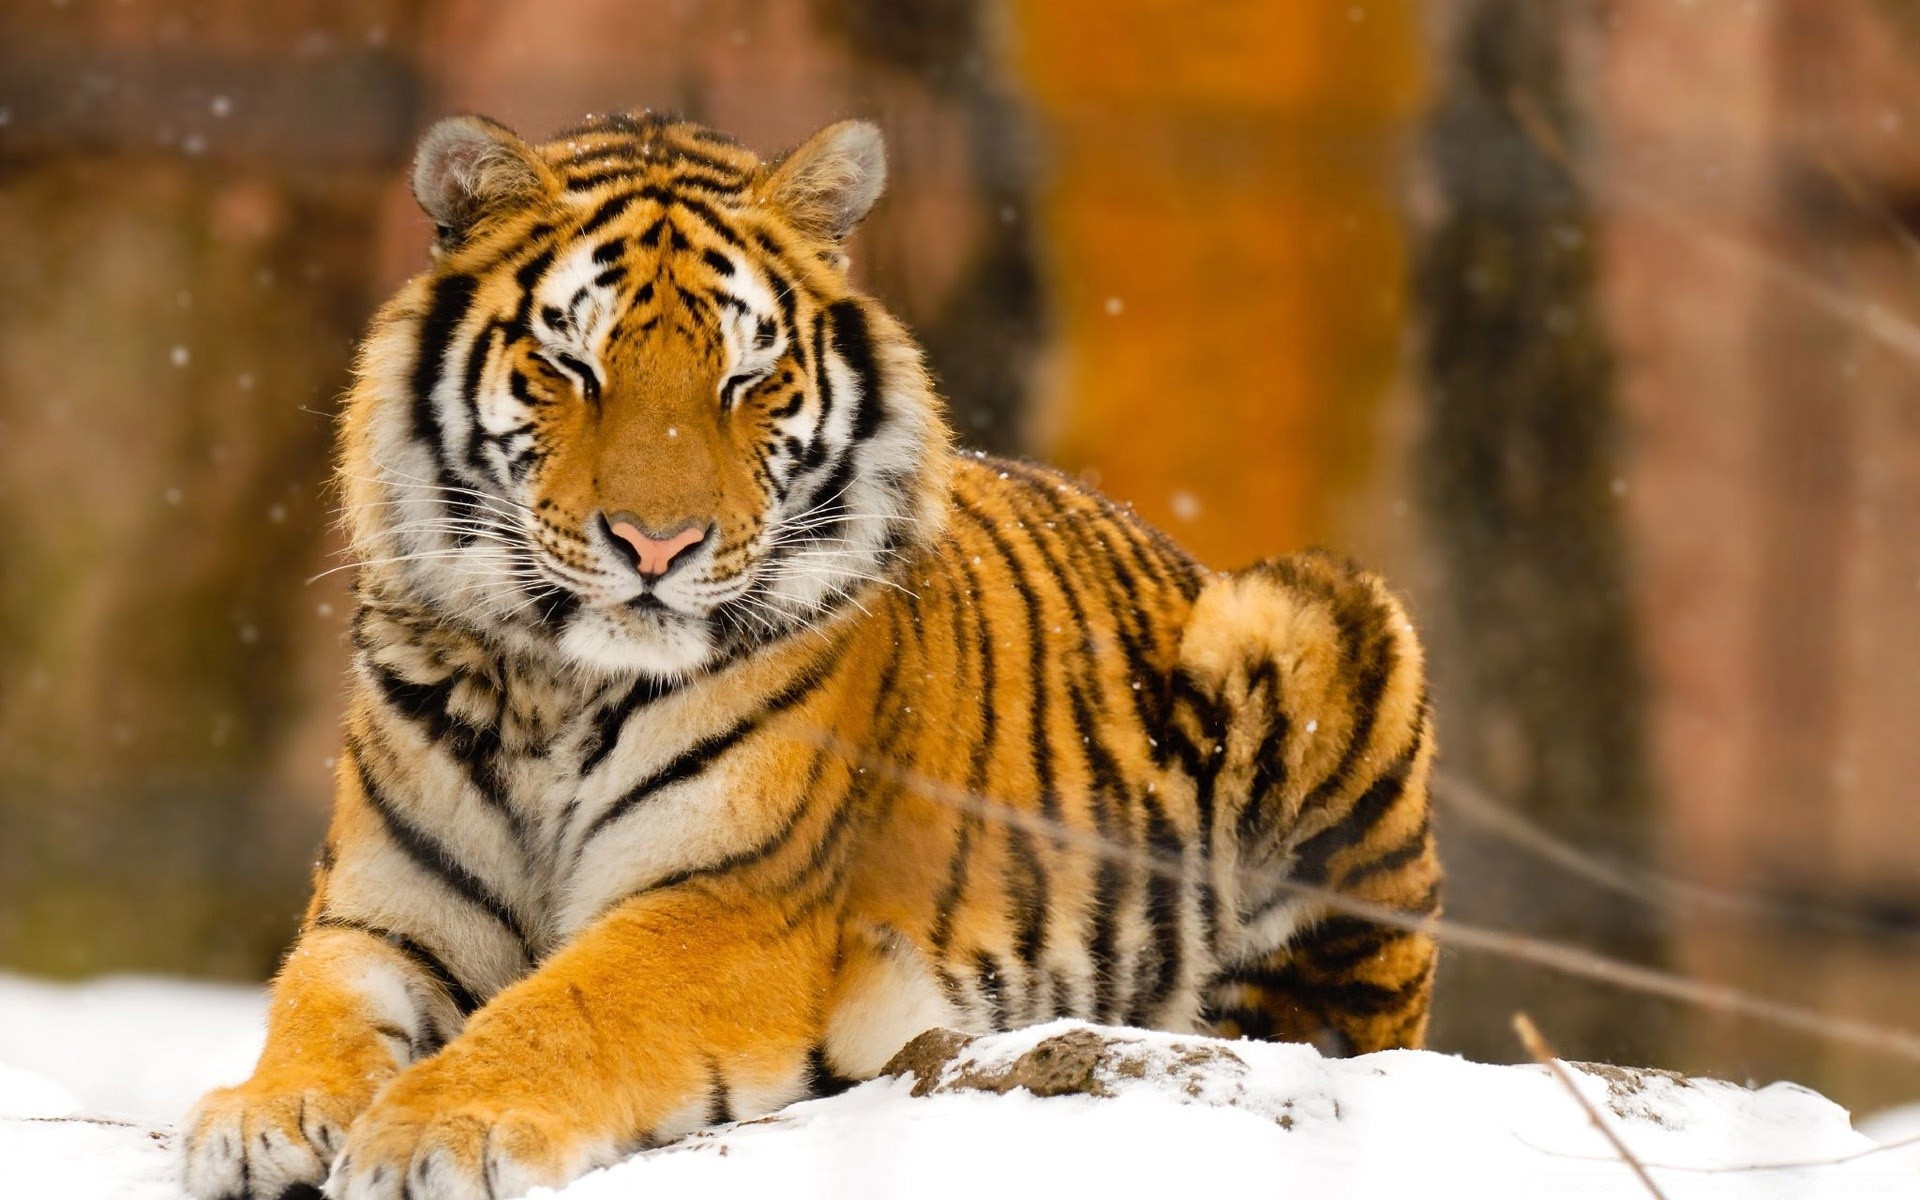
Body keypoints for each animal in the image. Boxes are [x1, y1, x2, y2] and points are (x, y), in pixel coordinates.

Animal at [183, 112, 1443, 1198]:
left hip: (1317, 624)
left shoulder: (726, 905)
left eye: (746, 378)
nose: (657, 545)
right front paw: (262, 1115)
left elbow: (564, 1011)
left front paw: (438, 1129)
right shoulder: (382, 913)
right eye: (572, 368)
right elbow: (313, 1004)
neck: (554, 682)